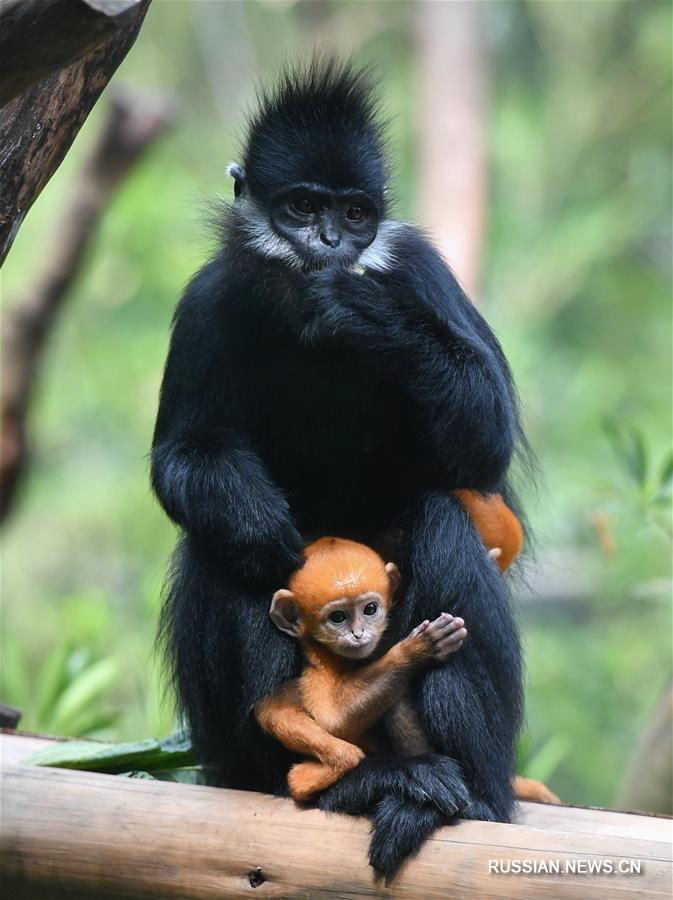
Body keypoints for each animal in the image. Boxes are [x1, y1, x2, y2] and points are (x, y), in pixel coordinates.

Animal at [155, 59, 528, 876]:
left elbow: (484, 445)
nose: (329, 242)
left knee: (440, 515)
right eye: (301, 208)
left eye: (355, 215)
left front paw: (356, 306)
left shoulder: (419, 270)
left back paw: (466, 794)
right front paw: (254, 513)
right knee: (227, 547)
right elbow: (180, 460)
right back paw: (337, 783)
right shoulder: (205, 299)